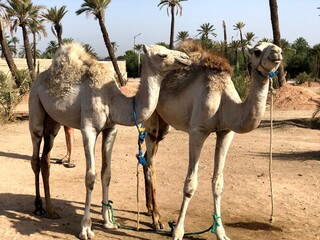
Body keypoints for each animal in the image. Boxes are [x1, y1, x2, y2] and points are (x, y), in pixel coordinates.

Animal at [28, 42, 190, 239]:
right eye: (162, 55)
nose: (186, 58)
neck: (111, 99)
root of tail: (38, 79)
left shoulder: (111, 129)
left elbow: (107, 173)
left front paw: (108, 221)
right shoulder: (88, 129)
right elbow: (90, 177)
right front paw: (86, 228)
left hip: (53, 122)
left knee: (45, 159)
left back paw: (51, 211)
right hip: (35, 107)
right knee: (35, 156)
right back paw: (38, 207)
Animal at [143, 40, 282, 239]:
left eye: (279, 48)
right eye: (257, 51)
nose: (276, 52)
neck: (223, 99)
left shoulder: (226, 132)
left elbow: (218, 184)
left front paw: (221, 232)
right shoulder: (197, 131)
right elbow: (190, 184)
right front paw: (178, 231)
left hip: (165, 125)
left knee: (144, 158)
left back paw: (149, 210)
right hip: (152, 119)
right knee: (150, 163)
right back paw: (157, 219)